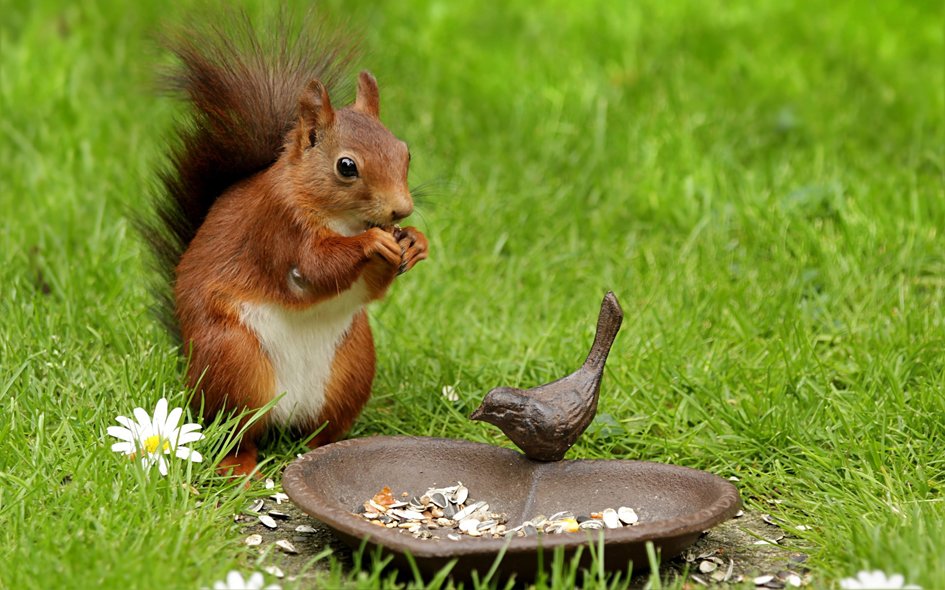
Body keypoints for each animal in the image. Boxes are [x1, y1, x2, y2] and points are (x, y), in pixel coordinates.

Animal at [143, 15, 428, 477]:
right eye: (346, 166)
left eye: (405, 153)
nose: (401, 210)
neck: (340, 218)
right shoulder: (277, 228)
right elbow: (314, 268)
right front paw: (373, 242)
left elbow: (370, 288)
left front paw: (416, 242)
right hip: (235, 363)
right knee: (236, 431)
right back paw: (239, 468)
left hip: (352, 367)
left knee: (319, 431)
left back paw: (328, 449)